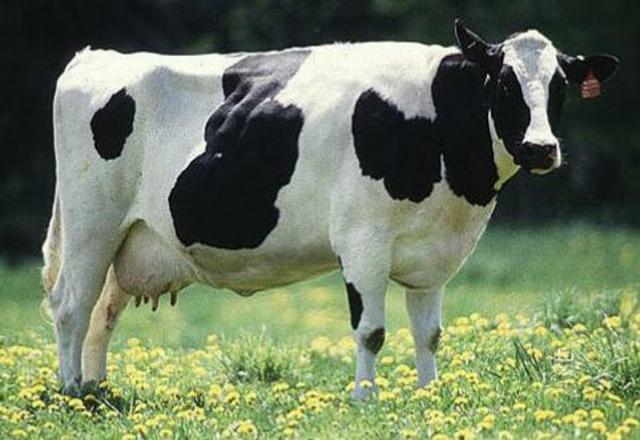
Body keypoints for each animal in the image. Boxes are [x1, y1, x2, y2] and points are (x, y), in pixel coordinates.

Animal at [42, 20, 618, 398]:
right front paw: (365, 400)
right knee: (72, 305)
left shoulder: (433, 254)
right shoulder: (363, 242)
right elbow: (372, 331)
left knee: (103, 313)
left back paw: (97, 390)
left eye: (560, 87)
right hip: (91, 224)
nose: (541, 148)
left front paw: (429, 397)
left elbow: (429, 333)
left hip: (129, 239)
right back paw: (71, 392)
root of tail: (97, 56)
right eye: (503, 82)